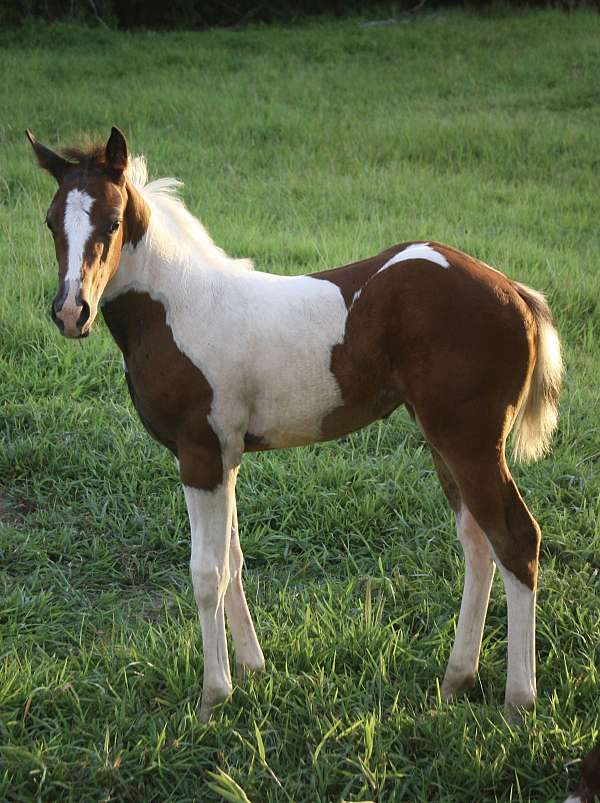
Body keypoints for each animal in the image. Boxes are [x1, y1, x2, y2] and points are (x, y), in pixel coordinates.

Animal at [27, 126, 562, 722]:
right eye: (51, 221)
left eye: (113, 222)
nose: (71, 312)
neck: (179, 307)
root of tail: (516, 293)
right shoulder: (227, 456)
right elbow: (234, 561)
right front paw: (252, 669)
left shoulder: (200, 455)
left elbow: (207, 573)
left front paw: (215, 695)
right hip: (444, 440)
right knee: (477, 540)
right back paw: (457, 679)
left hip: (470, 441)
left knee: (516, 539)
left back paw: (520, 699)